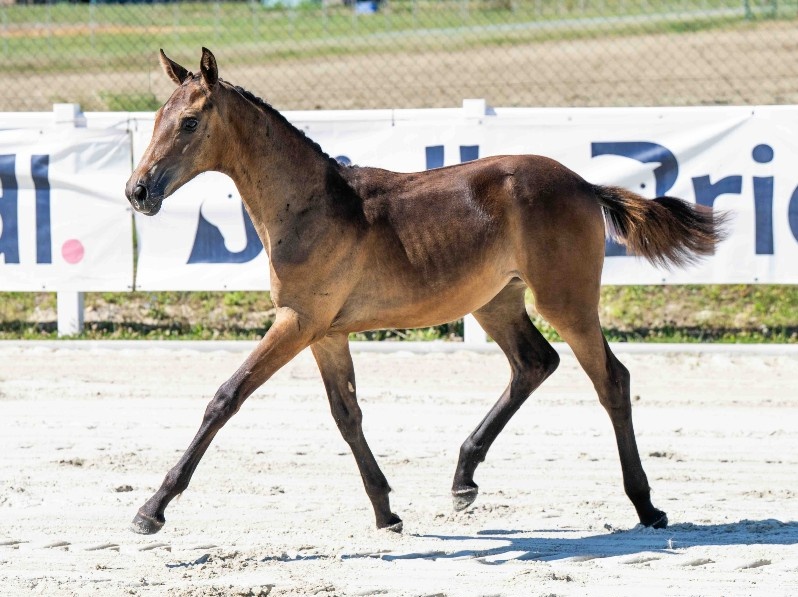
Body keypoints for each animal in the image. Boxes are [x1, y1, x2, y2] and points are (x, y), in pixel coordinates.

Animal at [125, 48, 726, 535]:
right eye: (155, 119)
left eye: (189, 122)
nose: (138, 190)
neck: (309, 206)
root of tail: (582, 183)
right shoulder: (325, 333)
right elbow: (347, 415)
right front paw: (386, 513)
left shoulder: (296, 321)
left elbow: (226, 397)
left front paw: (152, 509)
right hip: (495, 302)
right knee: (535, 364)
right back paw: (463, 479)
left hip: (566, 300)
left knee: (611, 380)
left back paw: (646, 506)